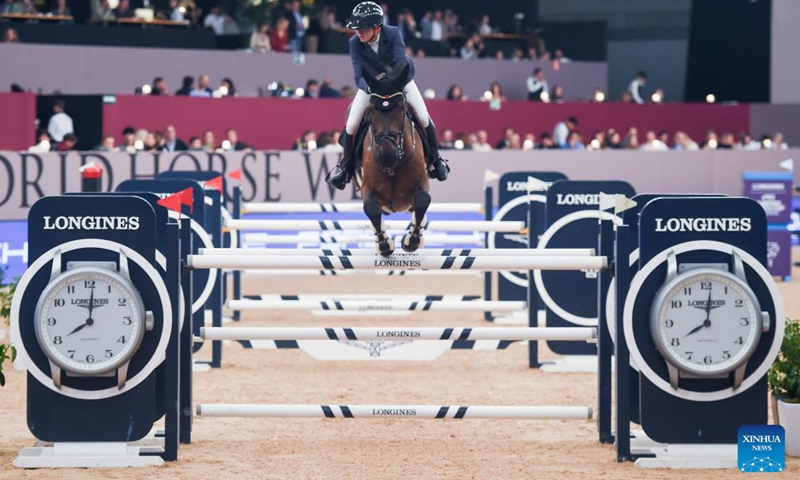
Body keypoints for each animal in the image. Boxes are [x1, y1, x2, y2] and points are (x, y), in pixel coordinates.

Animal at [356, 66, 432, 258]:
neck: (393, 167)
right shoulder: (367, 187)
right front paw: (384, 245)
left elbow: (422, 200)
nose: (387, 156)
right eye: (371, 110)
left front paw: (412, 240)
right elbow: (371, 209)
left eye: (401, 108)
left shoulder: (422, 181)